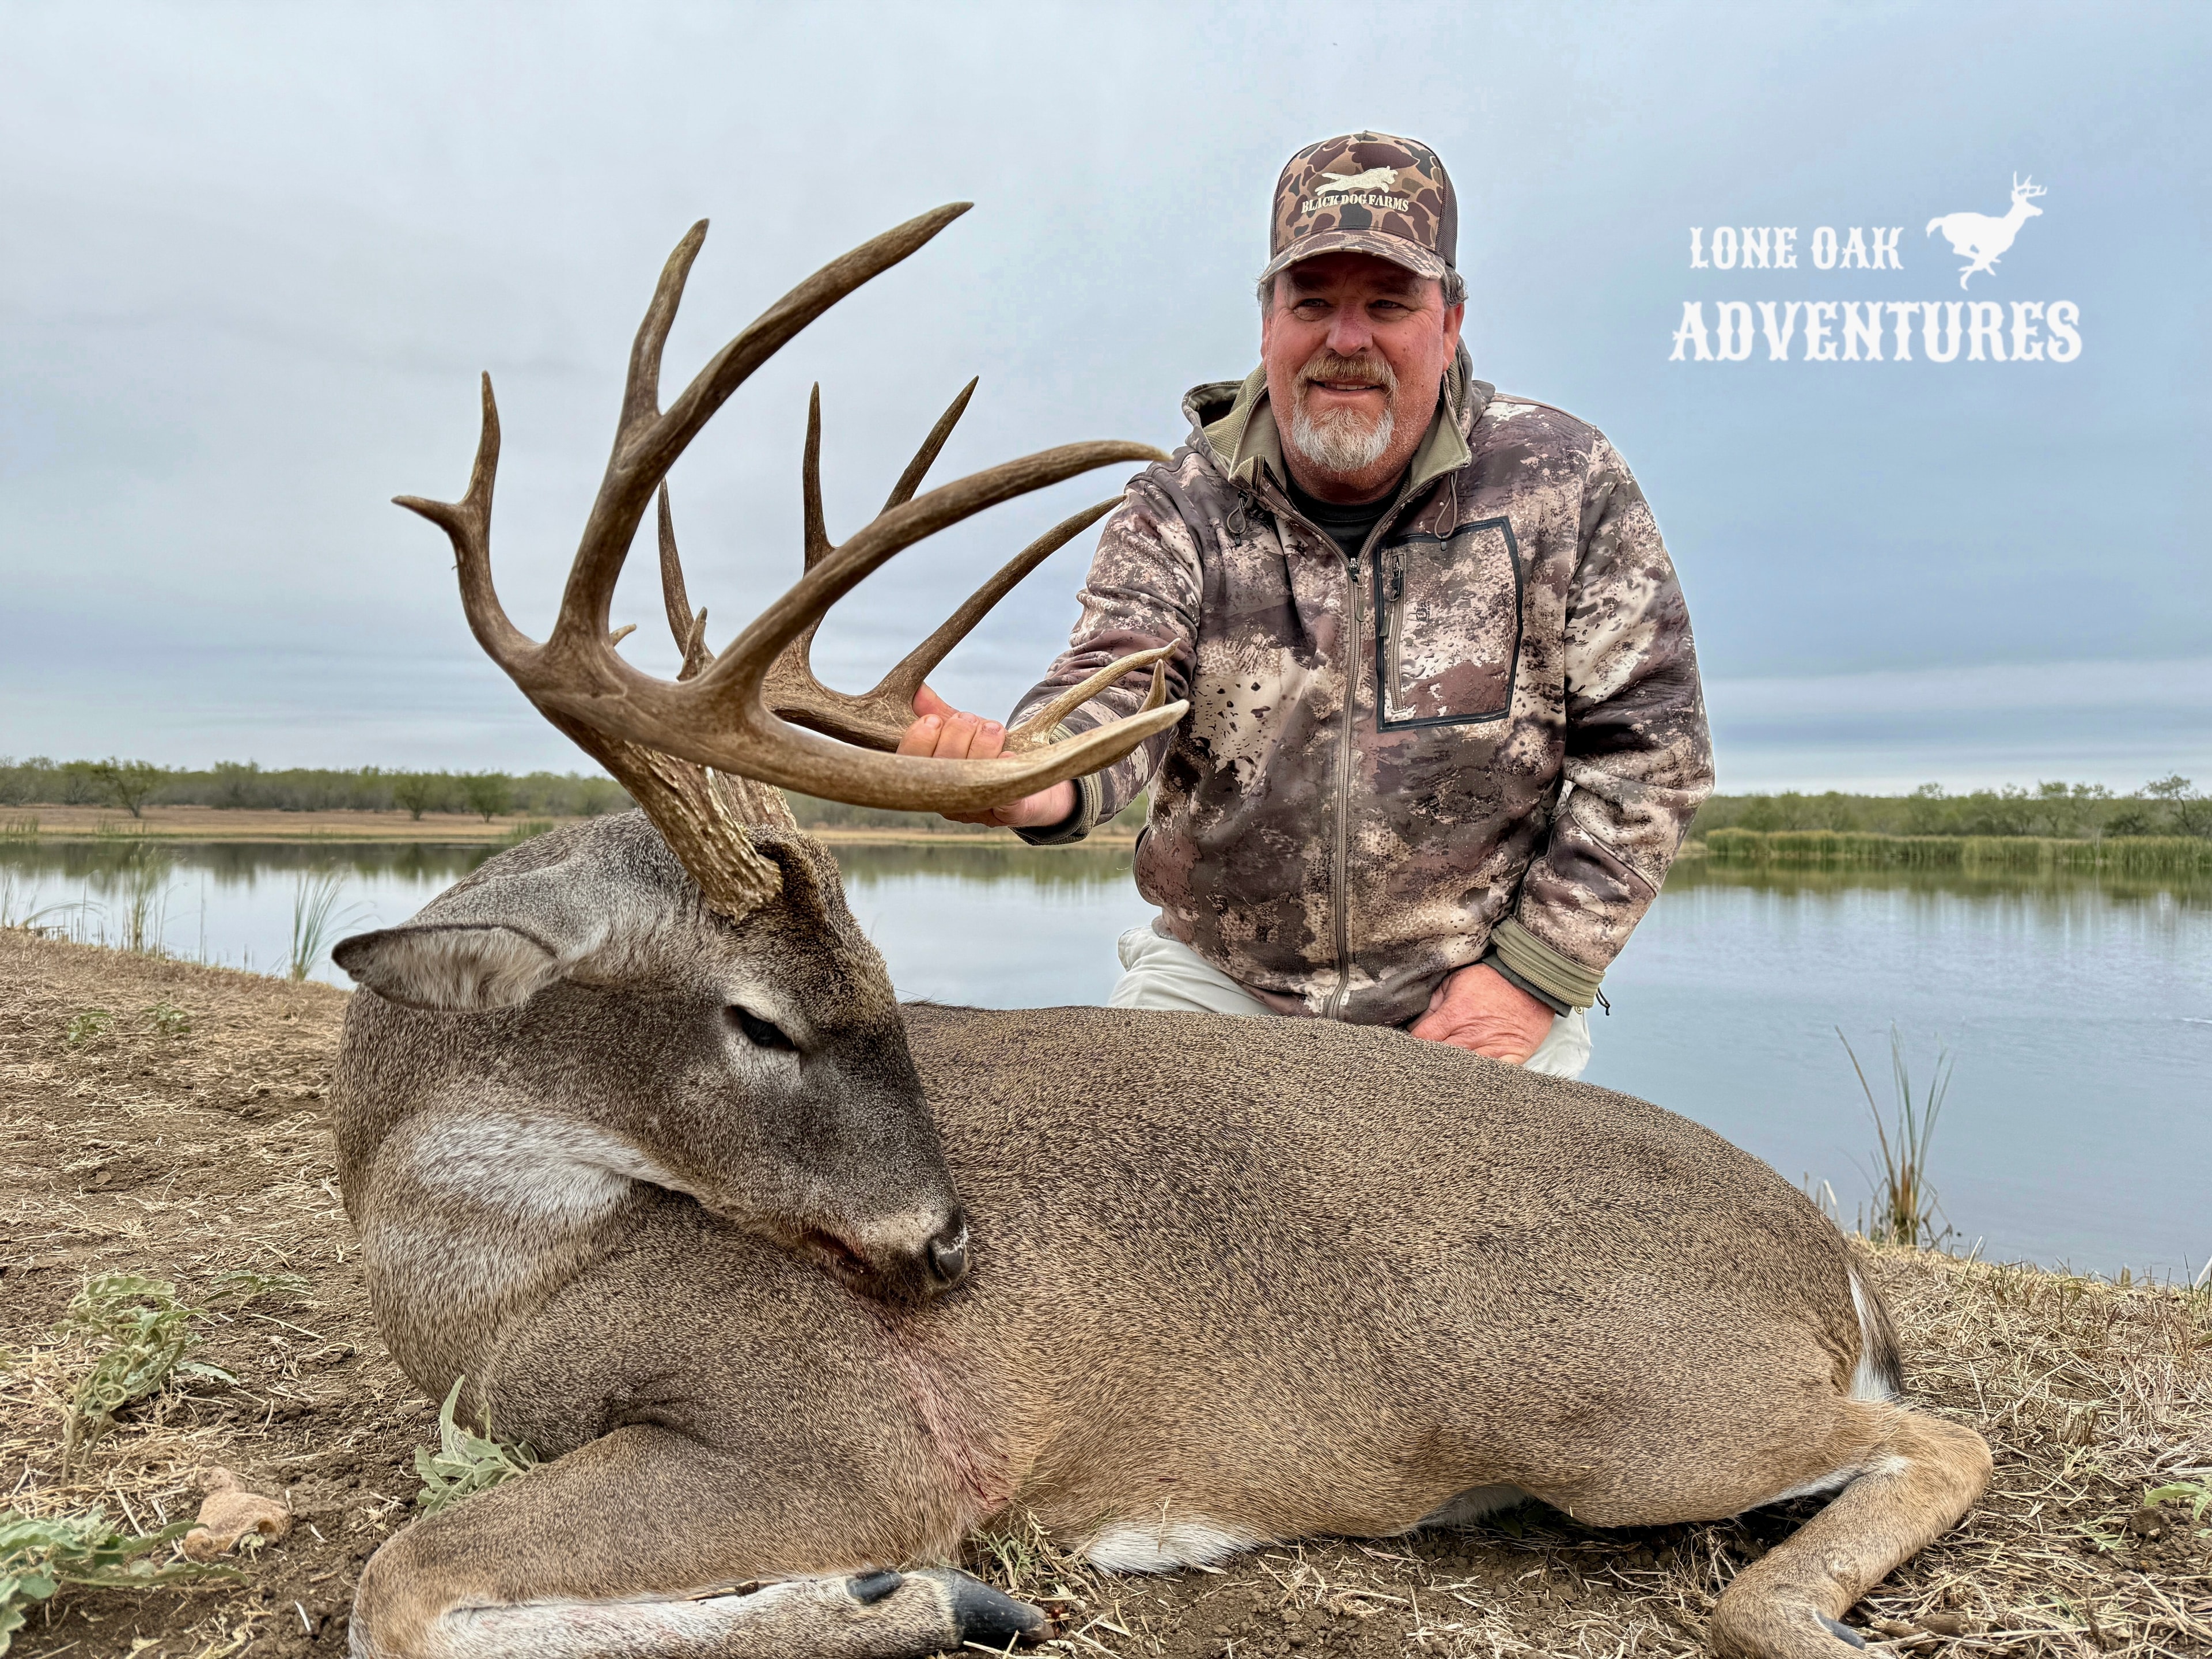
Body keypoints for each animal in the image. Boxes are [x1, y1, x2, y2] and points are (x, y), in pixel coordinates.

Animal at [331, 203, 1993, 1659]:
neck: (488, 1285)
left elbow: (397, 1586)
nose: (950, 1248)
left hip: (1638, 1413)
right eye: (762, 1015)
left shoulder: (845, 1437)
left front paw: (920, 1596)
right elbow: (406, 1581)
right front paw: (908, 1598)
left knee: (1944, 1440)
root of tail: (1831, 1260)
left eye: (871, 989)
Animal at [1925, 174, 2046, 289]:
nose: (2040, 211)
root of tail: (1943, 221)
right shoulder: (1989, 247)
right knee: (1960, 251)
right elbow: (1979, 262)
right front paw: (1964, 281)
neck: (2008, 227)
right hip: (1964, 241)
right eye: (2026, 205)